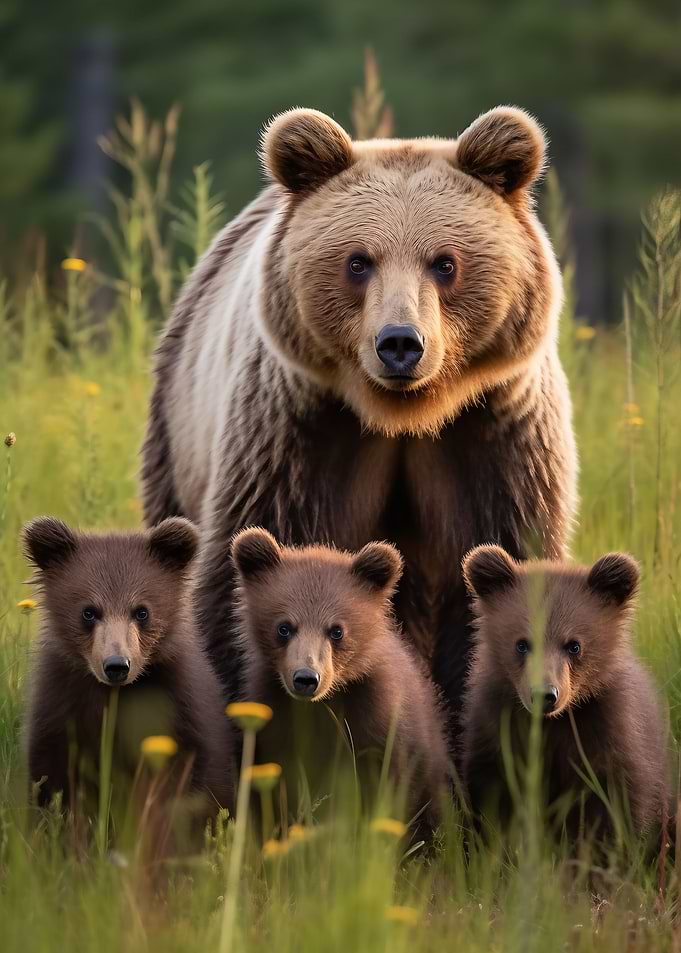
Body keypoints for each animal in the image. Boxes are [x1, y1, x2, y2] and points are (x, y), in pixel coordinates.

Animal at [22, 516, 236, 827]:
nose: (116, 666)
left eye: (142, 611)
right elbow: (52, 775)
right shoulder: (62, 705)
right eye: (88, 611)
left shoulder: (179, 709)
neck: (114, 697)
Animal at [141, 105, 577, 731]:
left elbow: (504, 557)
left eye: (445, 263)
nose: (400, 343)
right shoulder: (301, 432)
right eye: (358, 262)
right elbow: (264, 558)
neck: (404, 417)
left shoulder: (492, 434)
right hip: (177, 435)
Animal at [230, 527, 451, 835]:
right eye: (284, 628)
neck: (323, 705)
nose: (306, 678)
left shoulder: (377, 719)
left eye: (337, 631)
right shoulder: (277, 718)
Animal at [459, 544, 669, 843]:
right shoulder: (499, 731)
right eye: (522, 644)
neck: (553, 725)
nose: (545, 695)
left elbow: (614, 806)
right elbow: (493, 799)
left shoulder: (606, 732)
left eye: (574, 646)